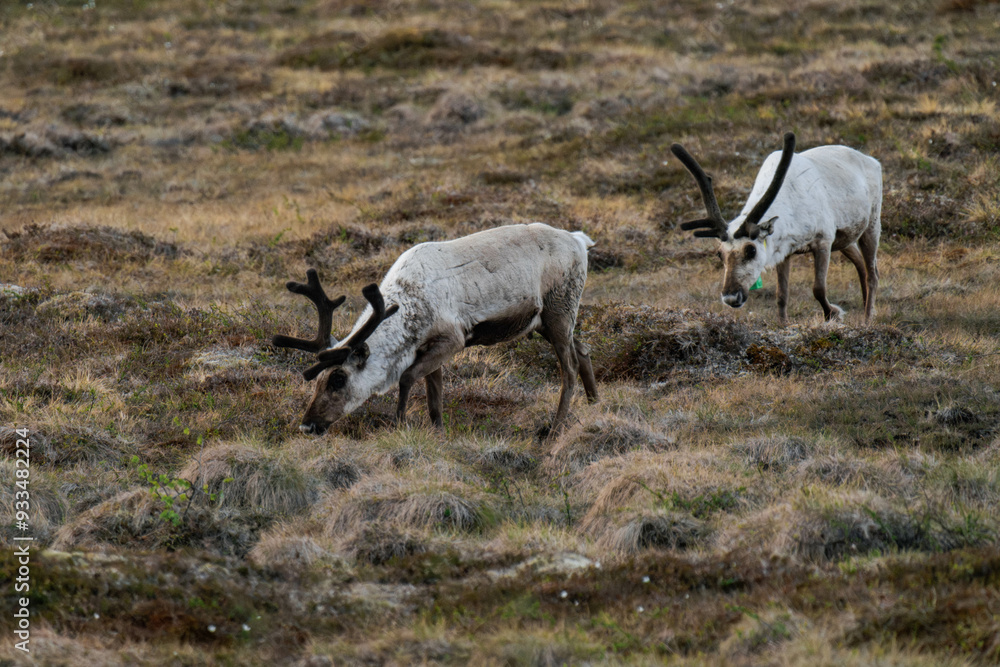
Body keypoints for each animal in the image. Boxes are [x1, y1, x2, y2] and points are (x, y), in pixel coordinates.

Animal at [271, 223, 599, 436]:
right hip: (548, 321)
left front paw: (399, 425)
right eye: (317, 379)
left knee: (568, 368)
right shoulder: (431, 346)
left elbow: (406, 377)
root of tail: (580, 240)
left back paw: (555, 430)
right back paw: (595, 404)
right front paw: (438, 433)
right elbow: (434, 398)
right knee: (583, 350)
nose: (307, 425)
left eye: (338, 379)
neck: (408, 306)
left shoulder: (452, 338)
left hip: (560, 311)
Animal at [670, 132, 882, 323]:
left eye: (751, 250)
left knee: (872, 273)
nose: (731, 297)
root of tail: (871, 160)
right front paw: (782, 324)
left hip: (872, 224)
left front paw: (833, 314)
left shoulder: (823, 239)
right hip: (844, 239)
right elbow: (782, 294)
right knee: (861, 265)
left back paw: (868, 319)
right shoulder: (784, 251)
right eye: (719, 254)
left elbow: (818, 288)